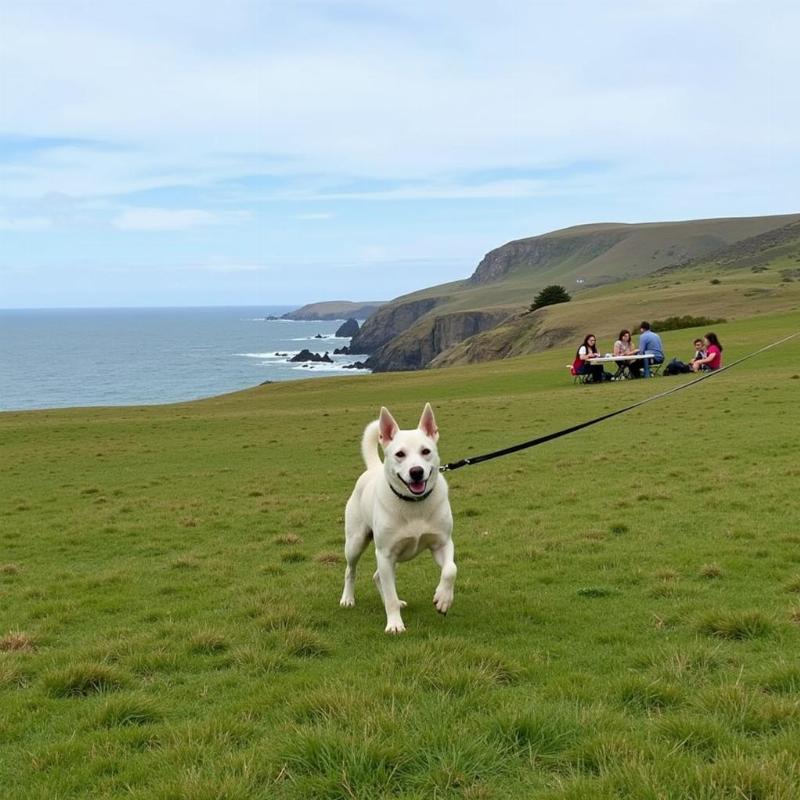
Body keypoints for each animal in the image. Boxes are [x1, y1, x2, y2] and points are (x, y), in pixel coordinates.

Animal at [340, 404, 456, 636]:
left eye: (426, 451)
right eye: (400, 454)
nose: (416, 472)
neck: (414, 504)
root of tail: (372, 468)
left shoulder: (443, 543)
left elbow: (450, 570)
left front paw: (443, 599)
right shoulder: (385, 554)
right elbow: (390, 594)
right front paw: (394, 624)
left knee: (378, 577)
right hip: (356, 542)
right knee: (351, 570)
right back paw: (348, 599)